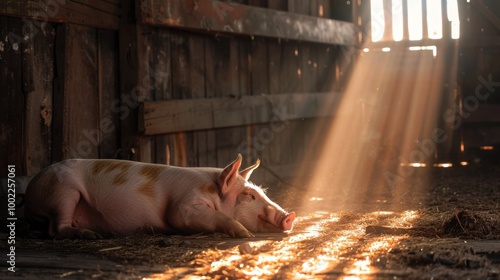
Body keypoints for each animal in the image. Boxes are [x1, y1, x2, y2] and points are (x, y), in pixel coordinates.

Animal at [23, 154, 294, 240]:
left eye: (262, 192)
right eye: (248, 195)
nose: (290, 215)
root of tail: (31, 186)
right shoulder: (183, 205)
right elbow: (182, 215)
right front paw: (246, 235)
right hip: (63, 192)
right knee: (55, 229)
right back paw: (91, 236)